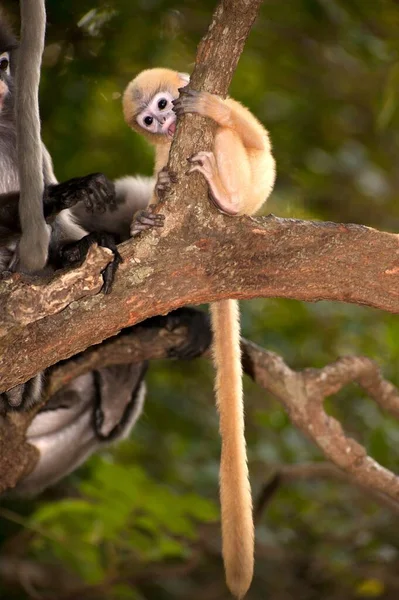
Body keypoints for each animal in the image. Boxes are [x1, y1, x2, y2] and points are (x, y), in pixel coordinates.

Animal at [123, 68, 276, 596]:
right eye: (149, 120)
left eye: (164, 104)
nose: (167, 121)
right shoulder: (158, 153)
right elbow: (156, 187)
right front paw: (143, 217)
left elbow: (260, 142)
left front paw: (212, 109)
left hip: (249, 190)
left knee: (236, 145)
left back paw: (224, 199)